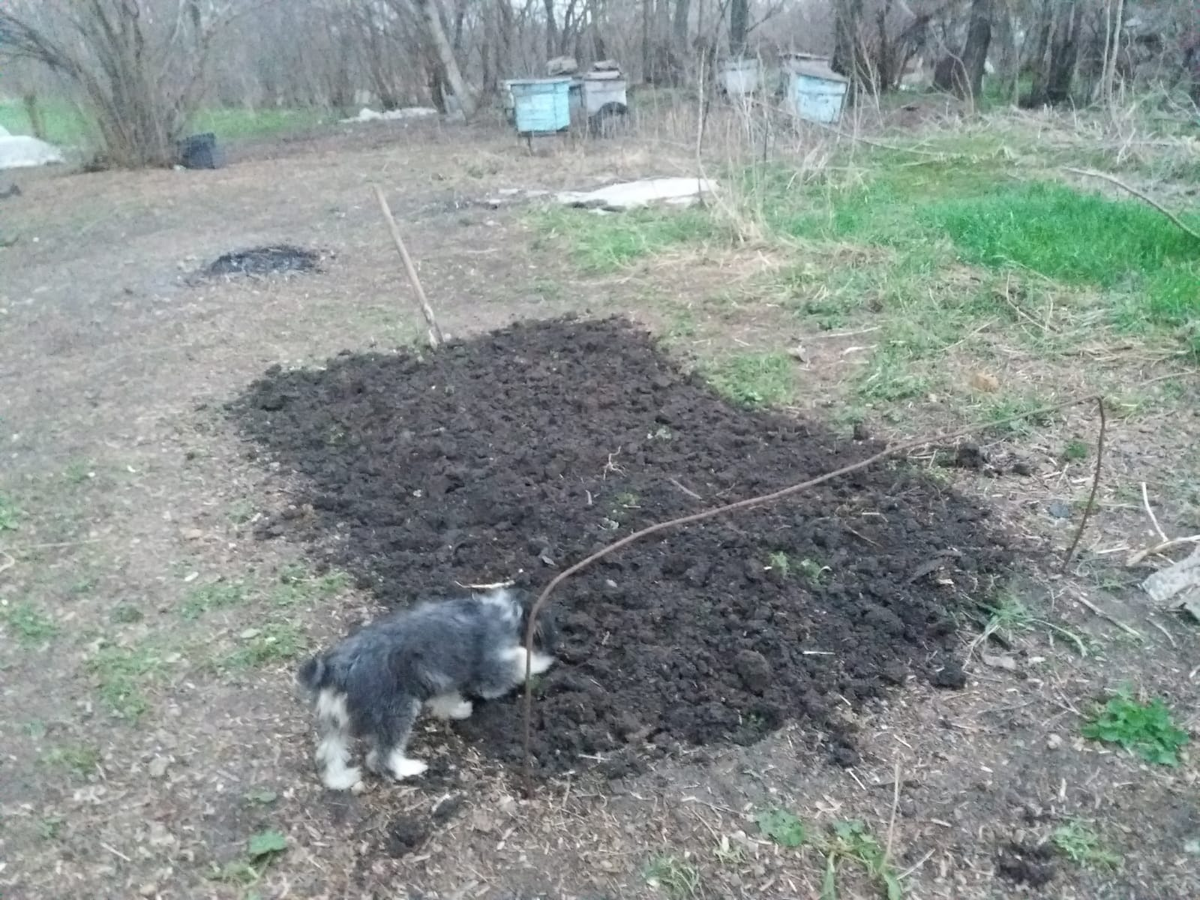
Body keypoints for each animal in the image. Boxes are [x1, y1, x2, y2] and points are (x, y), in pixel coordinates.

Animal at [295, 588, 556, 792]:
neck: (499, 611)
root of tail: (331, 672)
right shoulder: (495, 667)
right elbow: (520, 661)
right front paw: (543, 662)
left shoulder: (441, 677)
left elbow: (447, 699)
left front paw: (458, 710)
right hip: (396, 711)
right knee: (381, 758)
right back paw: (408, 768)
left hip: (336, 721)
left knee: (328, 753)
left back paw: (340, 779)